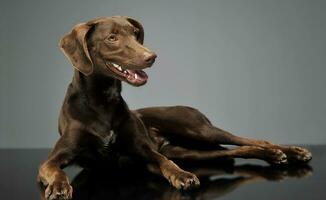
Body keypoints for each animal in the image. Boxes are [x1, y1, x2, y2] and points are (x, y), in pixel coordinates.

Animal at [37, 16, 312, 200]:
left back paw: (288, 152)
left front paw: (182, 176)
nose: (151, 56)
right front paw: (59, 186)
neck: (102, 101)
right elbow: (53, 170)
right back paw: (274, 155)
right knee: (236, 151)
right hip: (191, 151)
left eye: (135, 34)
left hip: (199, 129)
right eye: (112, 38)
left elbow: (165, 162)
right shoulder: (55, 158)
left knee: (253, 140)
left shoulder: (145, 150)